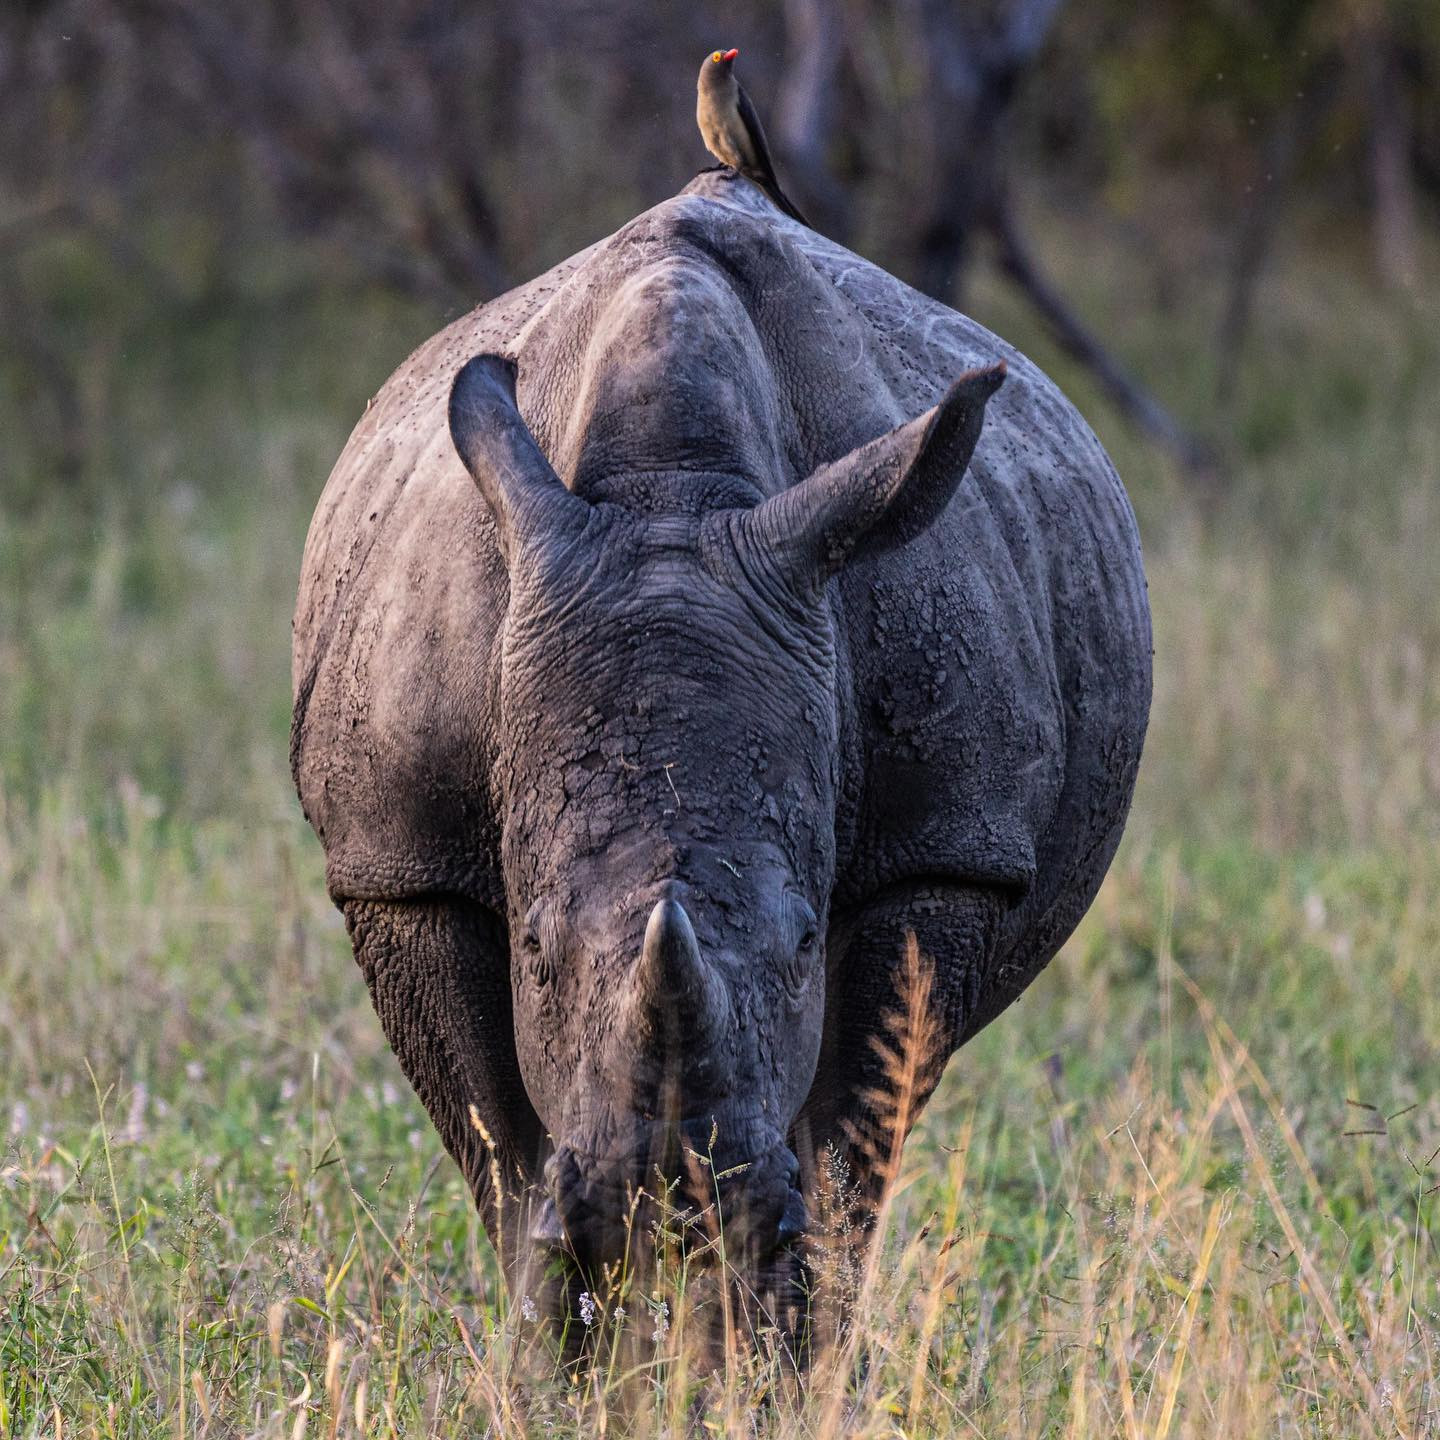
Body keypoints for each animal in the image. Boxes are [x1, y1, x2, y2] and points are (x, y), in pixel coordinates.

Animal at [291, 171, 1151, 1322]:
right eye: (534, 949)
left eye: (803, 944)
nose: (668, 1198)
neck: (672, 496)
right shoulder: (398, 858)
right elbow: (503, 1166)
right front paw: (557, 1343)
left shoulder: (945, 843)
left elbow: (849, 1153)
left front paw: (773, 1344)